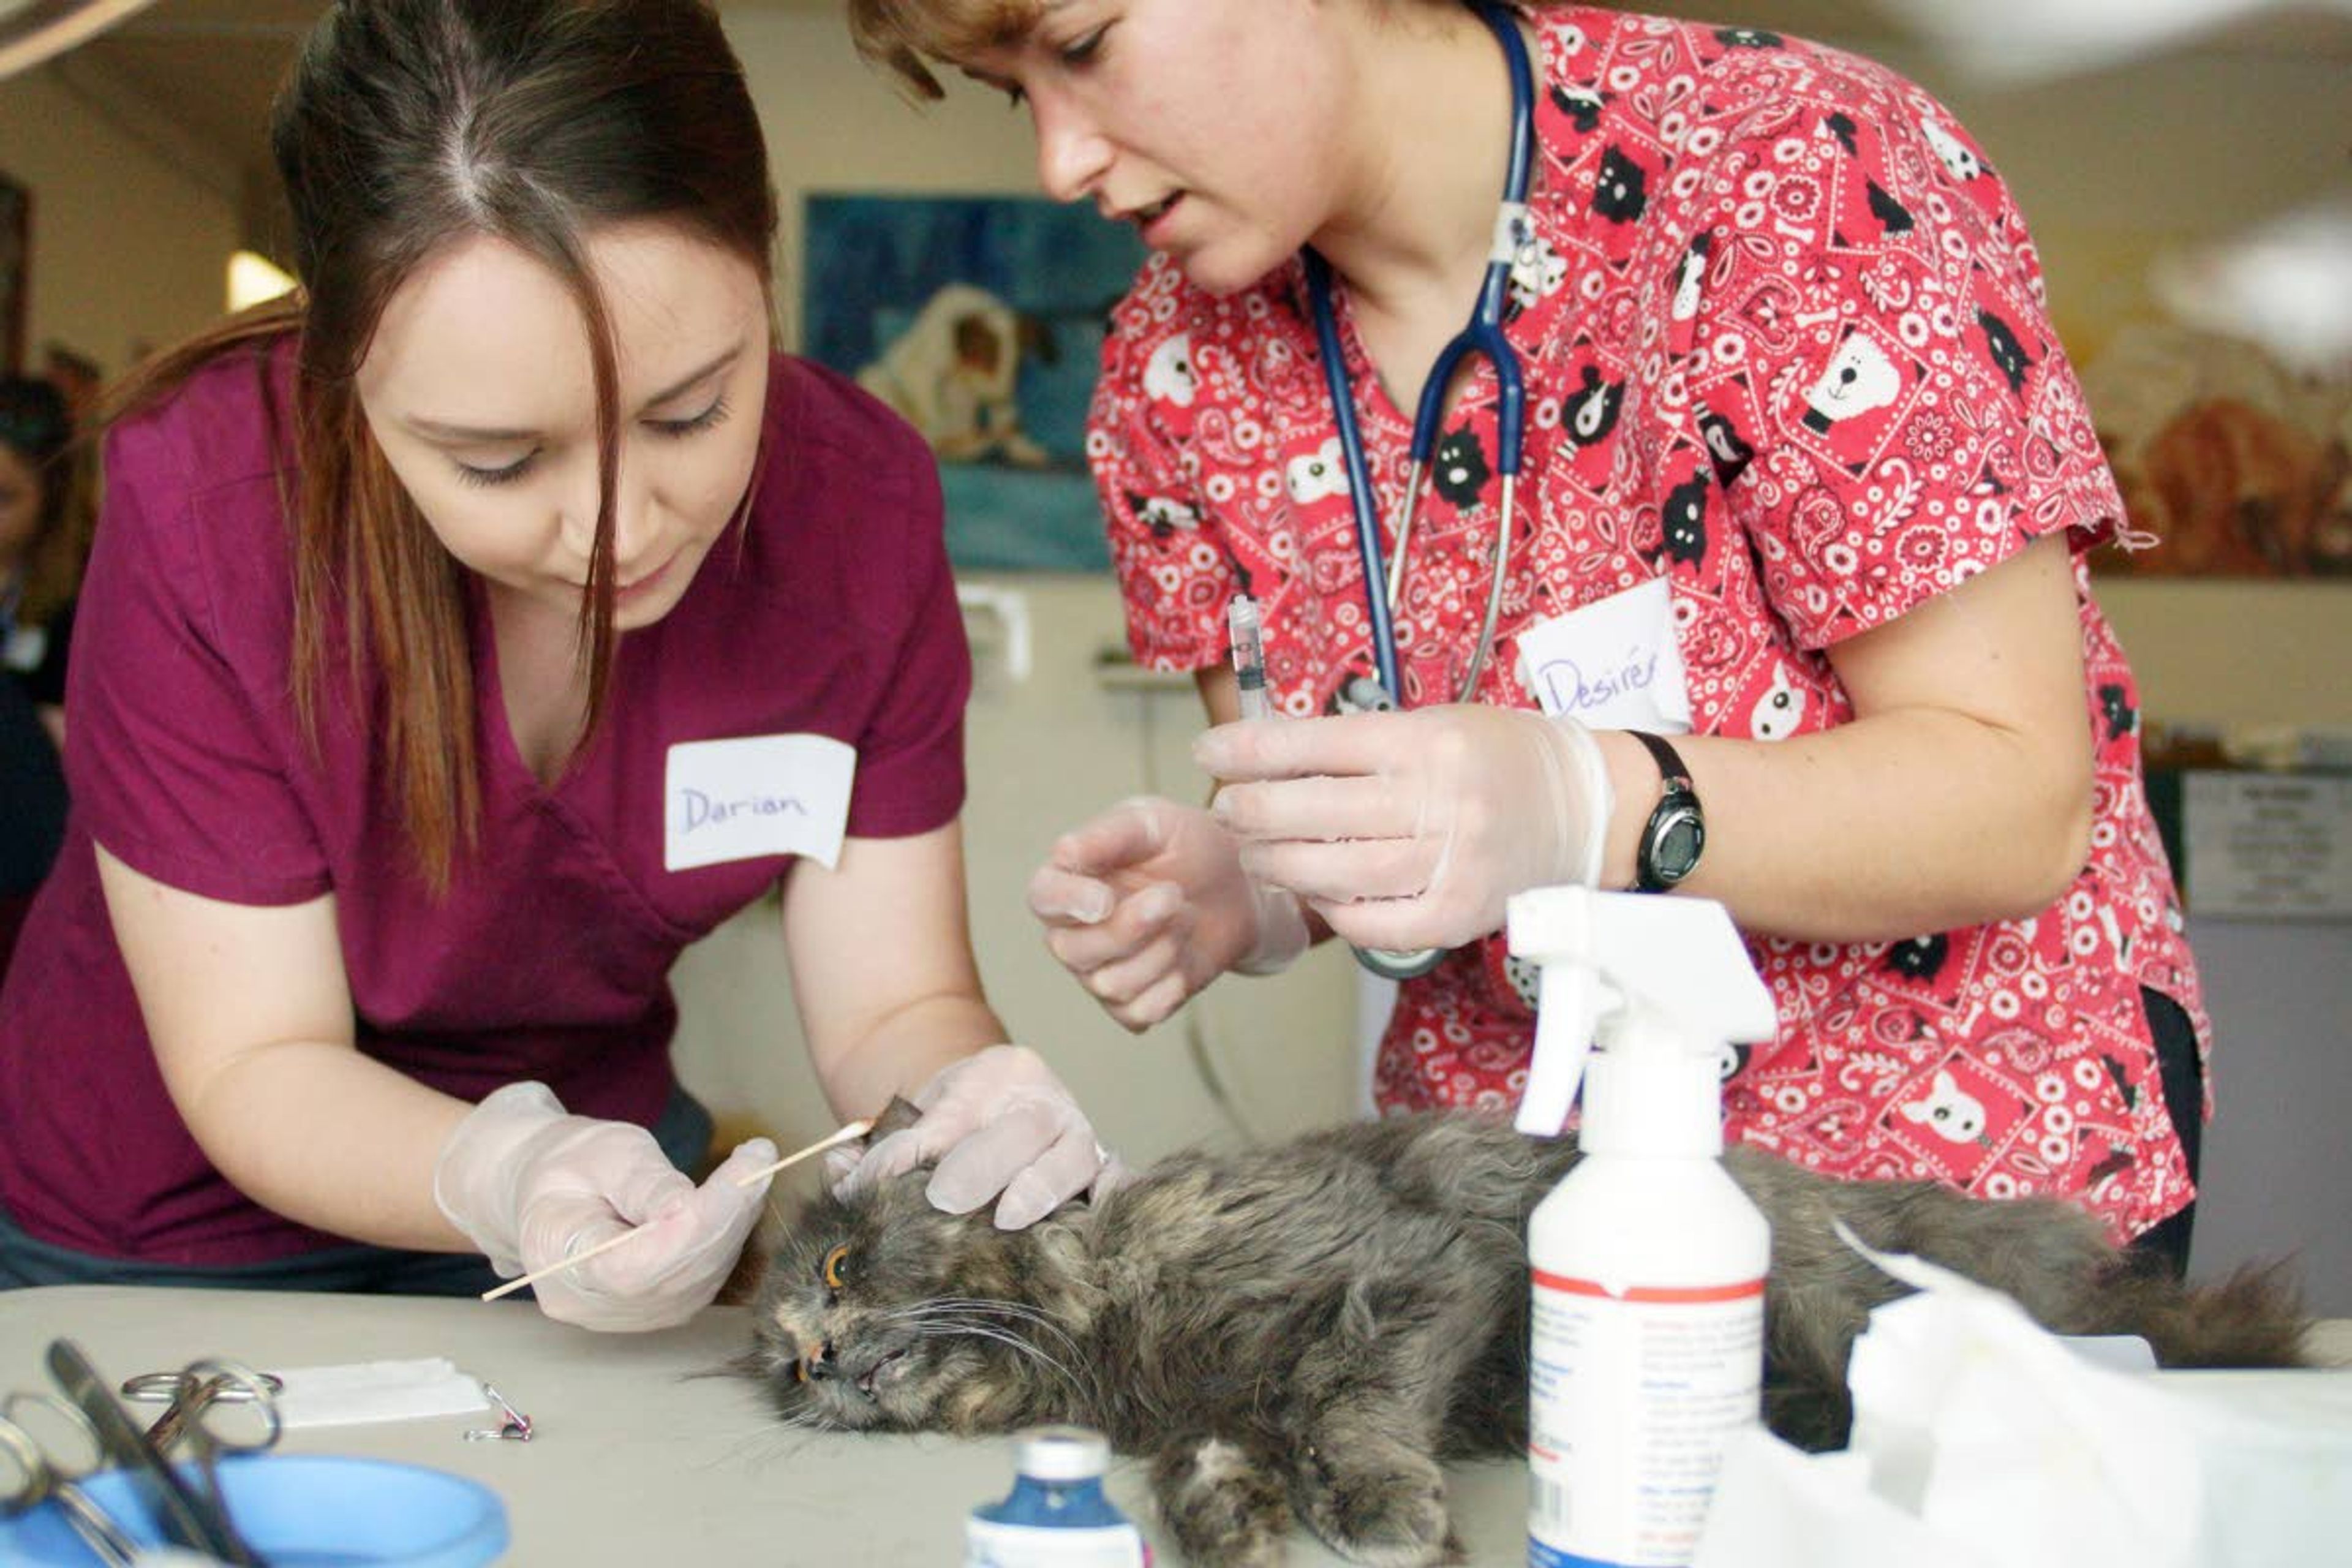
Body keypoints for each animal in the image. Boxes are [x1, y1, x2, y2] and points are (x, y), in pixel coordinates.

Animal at [743, 1104, 2305, 1568]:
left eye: (840, 1260)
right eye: (781, 1365)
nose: (821, 1356)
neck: (1110, 1314)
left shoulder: (1412, 1271)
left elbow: (1346, 1399)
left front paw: (1382, 1504)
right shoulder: (1209, 1403)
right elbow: (1211, 1467)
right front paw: (1242, 1528)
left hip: (1836, 1297)